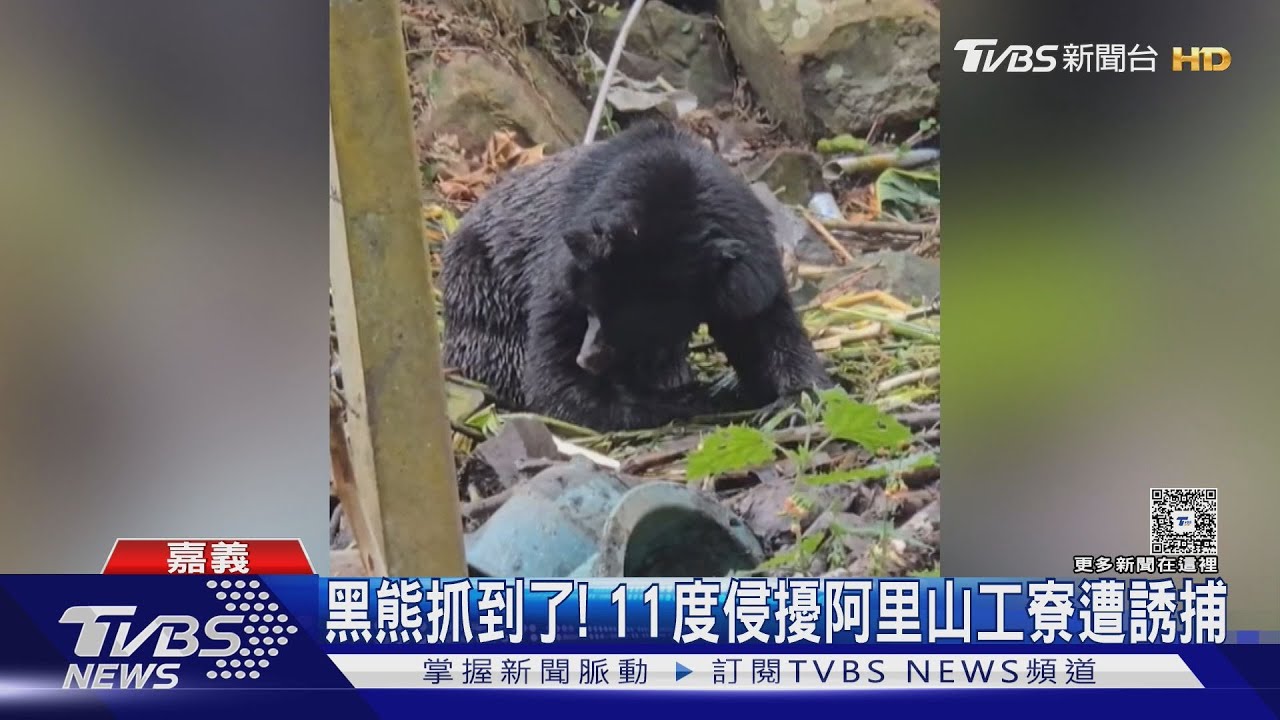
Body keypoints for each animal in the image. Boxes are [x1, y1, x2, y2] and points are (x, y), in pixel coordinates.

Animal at [440, 120, 833, 432]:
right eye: (591, 309)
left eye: (648, 330)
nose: (589, 359)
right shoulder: (562, 267)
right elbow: (551, 375)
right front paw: (681, 400)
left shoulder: (745, 270)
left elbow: (766, 329)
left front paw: (795, 401)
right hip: (483, 291)